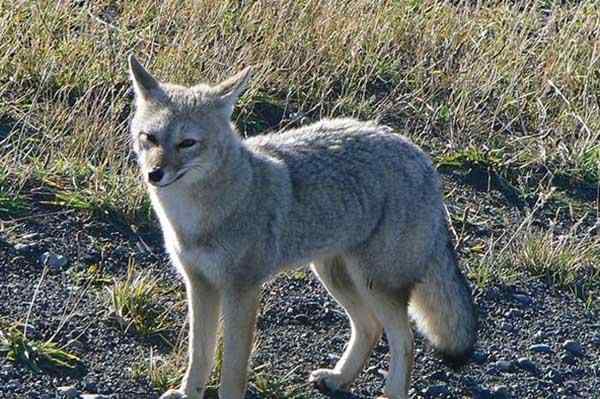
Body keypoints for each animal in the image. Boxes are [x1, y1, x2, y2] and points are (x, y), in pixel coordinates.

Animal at [127, 55, 478, 399]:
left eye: (187, 143)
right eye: (150, 138)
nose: (154, 174)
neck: (197, 218)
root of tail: (421, 157)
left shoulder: (242, 290)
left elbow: (233, 369)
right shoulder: (199, 284)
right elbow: (199, 353)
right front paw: (189, 393)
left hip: (374, 282)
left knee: (405, 340)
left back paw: (390, 393)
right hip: (334, 275)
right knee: (370, 327)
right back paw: (338, 378)